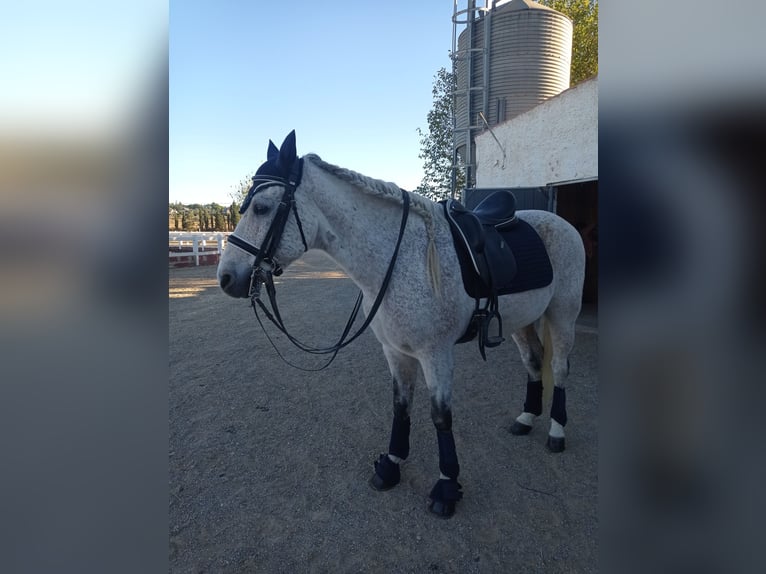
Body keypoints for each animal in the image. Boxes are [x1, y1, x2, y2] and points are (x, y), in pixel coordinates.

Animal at [217, 131, 585, 518]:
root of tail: (558, 223)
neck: (401, 259)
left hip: (563, 314)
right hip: (522, 321)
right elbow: (401, 406)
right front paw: (390, 466)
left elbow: (440, 416)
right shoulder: (395, 351)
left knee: (560, 368)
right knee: (533, 362)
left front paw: (446, 487)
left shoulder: (436, 355)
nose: (225, 278)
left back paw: (556, 432)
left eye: (262, 208)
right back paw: (526, 418)